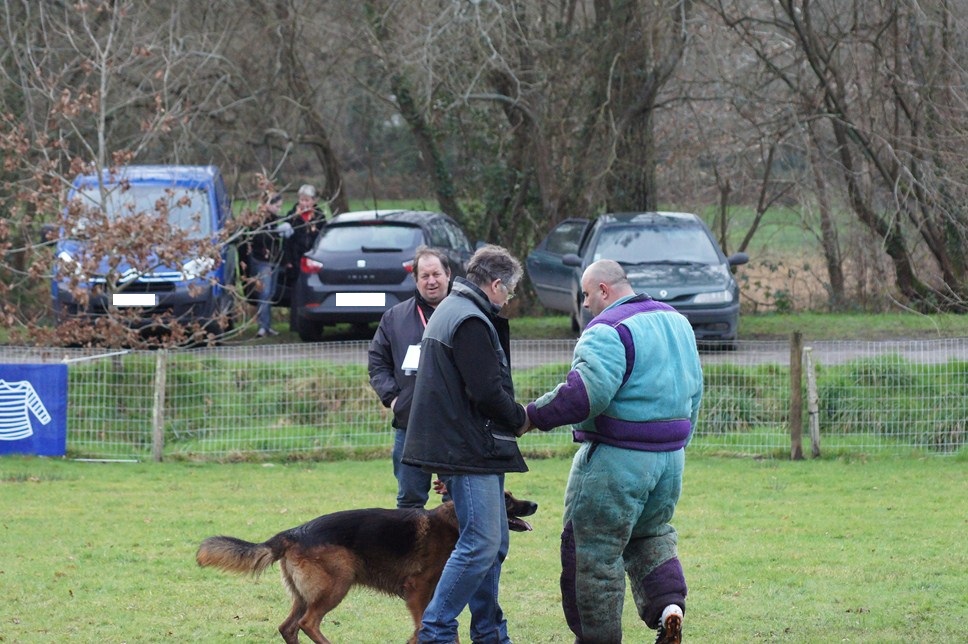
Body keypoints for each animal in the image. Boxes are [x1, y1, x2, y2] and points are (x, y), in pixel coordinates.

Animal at [199, 490, 536, 640]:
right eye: (506, 499)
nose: (534, 504)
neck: (455, 523)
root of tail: (293, 533)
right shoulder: (418, 591)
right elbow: (423, 626)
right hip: (337, 583)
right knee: (308, 623)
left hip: (305, 594)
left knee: (288, 626)